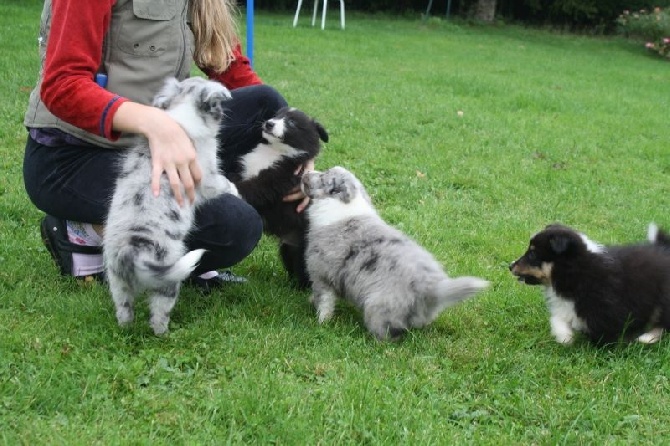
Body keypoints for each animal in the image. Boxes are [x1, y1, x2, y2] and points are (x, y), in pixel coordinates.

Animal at [103, 76, 240, 334]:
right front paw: (236, 191)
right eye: (217, 106)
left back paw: (125, 329)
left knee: (124, 309)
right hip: (168, 279)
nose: (225, 113)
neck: (182, 114)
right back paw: (165, 334)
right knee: (158, 314)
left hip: (117, 281)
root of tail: (132, 250)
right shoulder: (207, 177)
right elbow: (225, 183)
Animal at [227, 106, 330, 288]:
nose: (269, 123)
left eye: (292, 122)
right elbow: (235, 174)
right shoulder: (245, 167)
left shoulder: (280, 178)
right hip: (288, 247)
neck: (274, 151)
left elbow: (256, 187)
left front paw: (230, 186)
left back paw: (299, 289)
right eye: (276, 115)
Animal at [302, 167, 490, 342]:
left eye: (323, 176)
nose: (304, 173)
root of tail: (431, 288)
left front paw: (321, 322)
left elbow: (324, 301)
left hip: (378, 307)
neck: (343, 205)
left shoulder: (320, 274)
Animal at [510, 223, 670, 344]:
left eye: (532, 254)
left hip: (663, 298)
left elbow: (603, 327)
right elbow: (557, 319)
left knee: (663, 322)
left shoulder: (605, 305)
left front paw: (601, 347)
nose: (510, 266)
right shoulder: (565, 304)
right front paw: (565, 337)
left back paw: (648, 337)